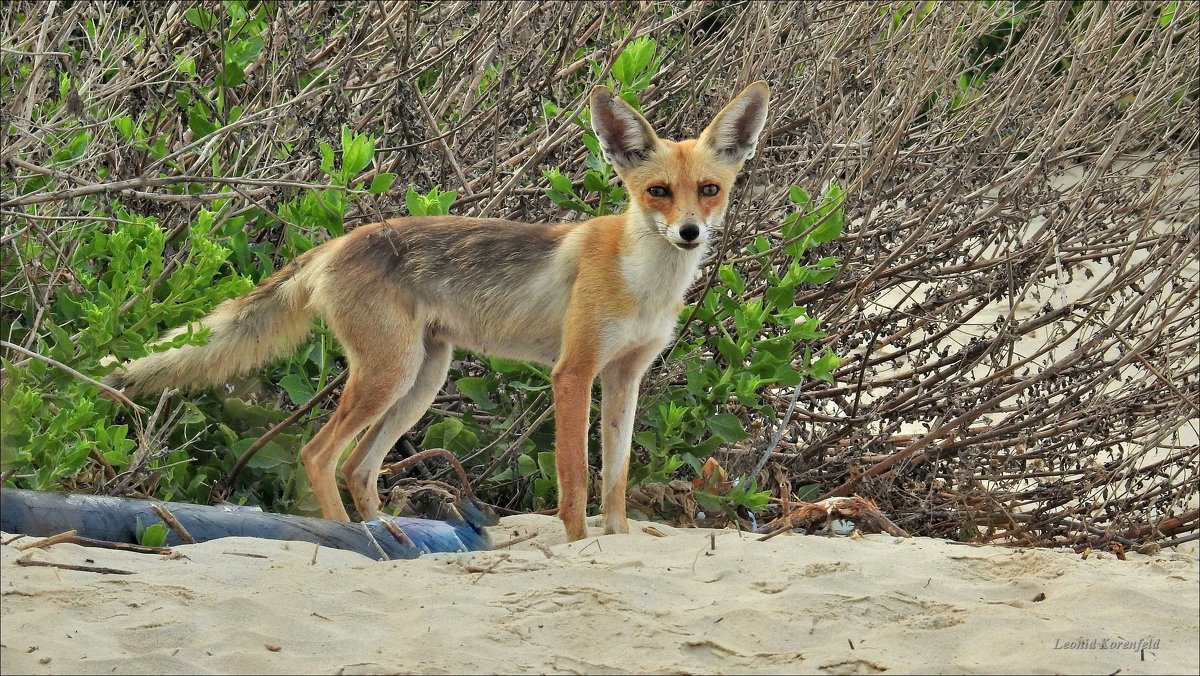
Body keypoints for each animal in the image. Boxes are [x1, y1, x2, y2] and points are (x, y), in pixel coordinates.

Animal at [108, 82, 772, 542]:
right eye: (658, 191)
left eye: (709, 190)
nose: (688, 233)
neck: (643, 283)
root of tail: (338, 242)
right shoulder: (574, 372)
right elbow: (575, 482)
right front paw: (579, 545)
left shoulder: (625, 376)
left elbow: (616, 481)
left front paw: (616, 543)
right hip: (391, 374)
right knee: (318, 454)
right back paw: (350, 538)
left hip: (422, 381)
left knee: (360, 467)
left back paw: (389, 539)